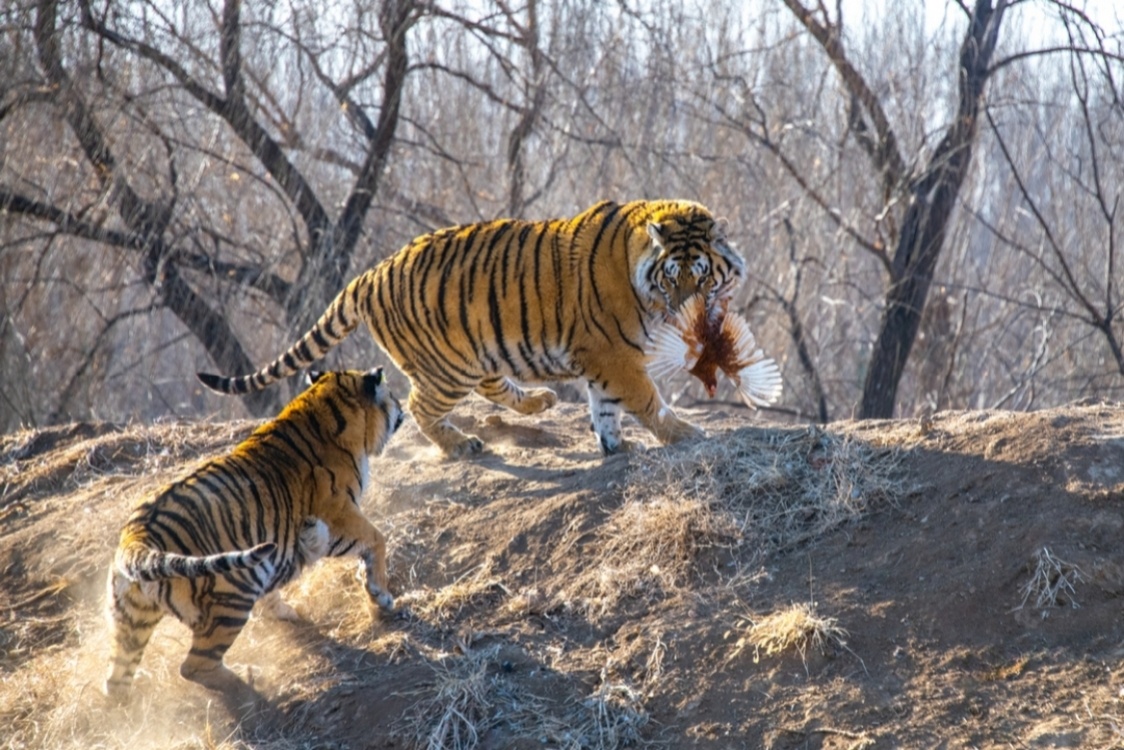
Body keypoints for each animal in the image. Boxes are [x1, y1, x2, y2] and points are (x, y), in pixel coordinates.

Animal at [104, 366, 404, 701]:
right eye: (392, 394)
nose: (402, 407)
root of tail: (134, 535)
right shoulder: (338, 514)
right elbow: (376, 539)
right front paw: (381, 596)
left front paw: (285, 611)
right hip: (232, 596)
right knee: (194, 666)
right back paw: (250, 686)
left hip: (131, 621)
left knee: (115, 681)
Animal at [200, 199, 746, 458]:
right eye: (673, 280)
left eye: (702, 279)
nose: (683, 316)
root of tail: (371, 272)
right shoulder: (613, 351)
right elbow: (646, 399)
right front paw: (684, 433)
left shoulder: (602, 356)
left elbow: (605, 405)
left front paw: (615, 446)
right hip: (447, 365)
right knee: (420, 407)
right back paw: (461, 445)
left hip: (476, 349)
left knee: (493, 384)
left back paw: (538, 401)